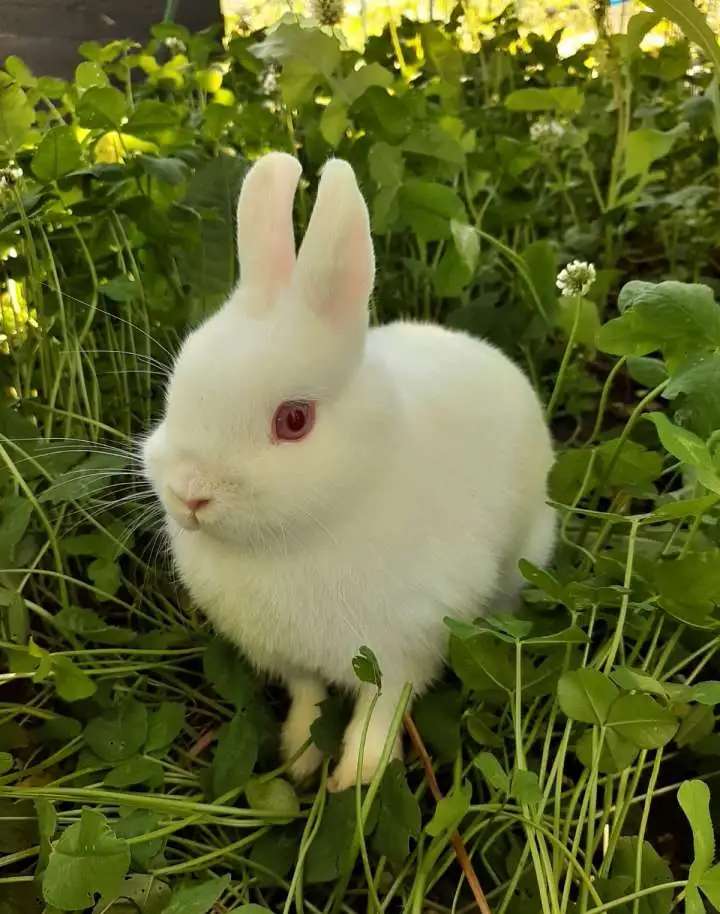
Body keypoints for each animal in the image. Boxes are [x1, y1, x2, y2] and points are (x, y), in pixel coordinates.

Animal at [142, 151, 556, 793]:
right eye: (175, 388)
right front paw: (297, 758)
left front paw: (356, 779)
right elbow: (308, 697)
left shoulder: (404, 646)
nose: (190, 495)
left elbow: (378, 715)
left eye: (293, 420)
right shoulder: (294, 659)